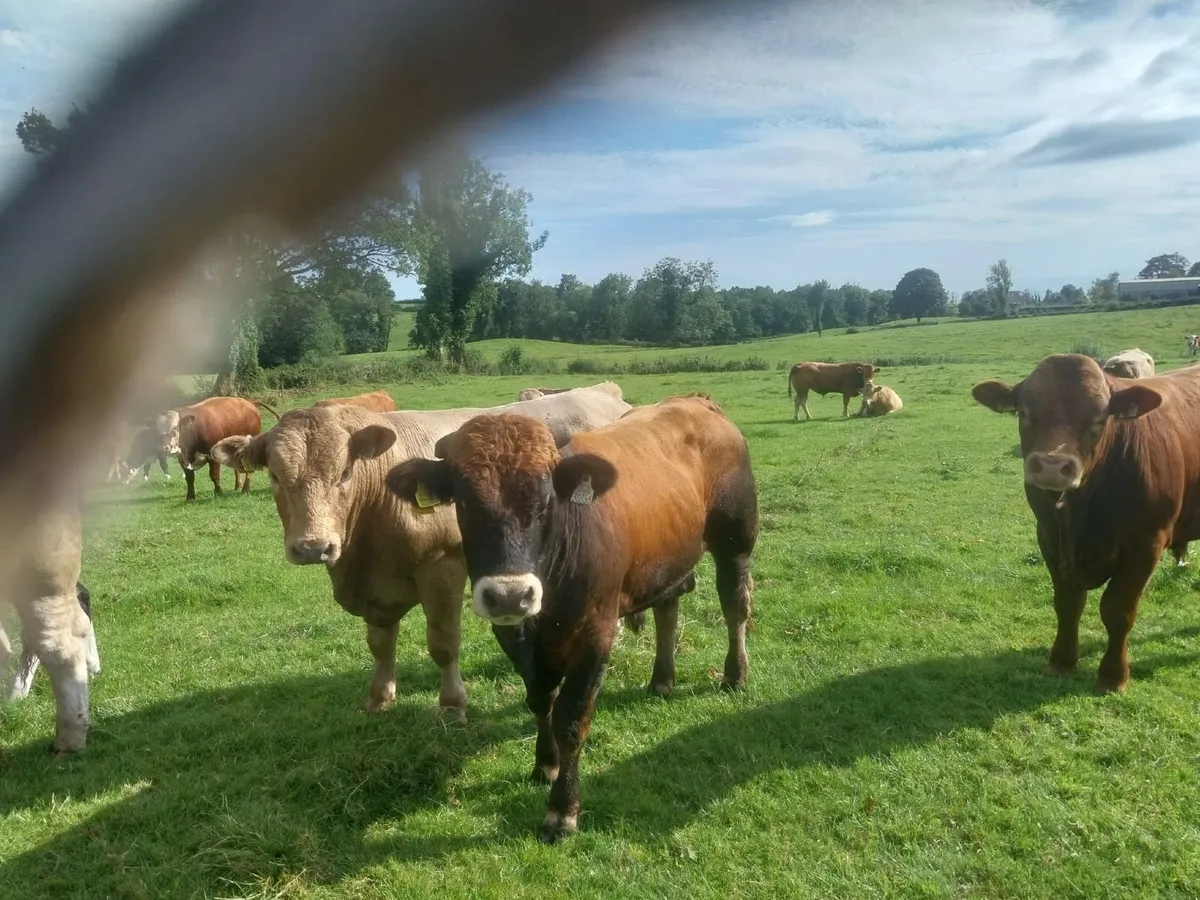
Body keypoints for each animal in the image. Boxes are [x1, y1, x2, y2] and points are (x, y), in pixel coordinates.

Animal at [207, 384, 631, 718]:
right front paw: (379, 697)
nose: (313, 546)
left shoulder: (442, 569)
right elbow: (380, 643)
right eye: (276, 476)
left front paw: (453, 705)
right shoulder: (376, 588)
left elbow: (443, 643)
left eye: (344, 472)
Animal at [386, 394, 758, 843]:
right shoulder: (514, 636)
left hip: (736, 539)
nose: (510, 594)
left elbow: (571, 719)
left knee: (734, 604)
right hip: (666, 560)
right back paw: (662, 679)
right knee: (668, 607)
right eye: (463, 501)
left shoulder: (596, 635)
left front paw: (562, 811)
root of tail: (693, 401)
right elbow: (540, 701)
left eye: (546, 501)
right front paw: (544, 764)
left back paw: (734, 673)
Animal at [971, 353, 1200, 695]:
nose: (1052, 465)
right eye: (1024, 412)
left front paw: (1113, 676)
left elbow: (1118, 610)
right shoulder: (1048, 538)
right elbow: (1067, 603)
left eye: (1099, 418)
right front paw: (1061, 661)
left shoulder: (1146, 545)